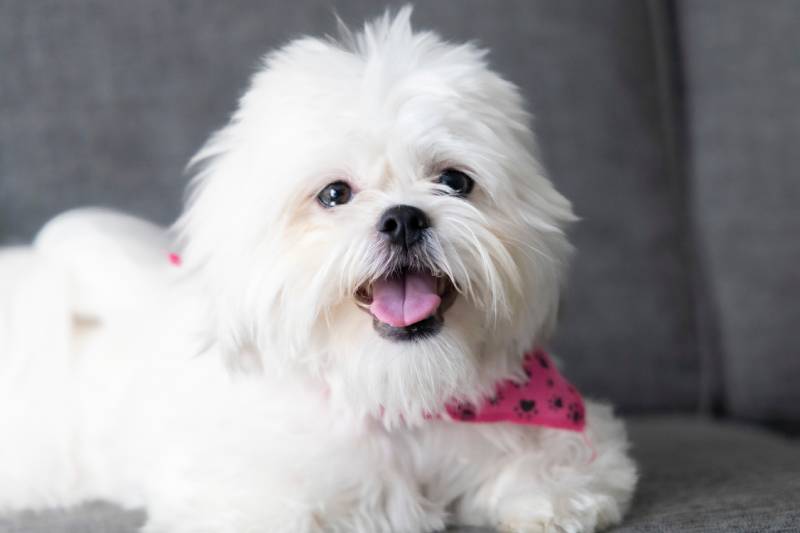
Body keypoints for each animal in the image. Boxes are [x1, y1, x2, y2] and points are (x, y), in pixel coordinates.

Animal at [0, 8, 636, 532]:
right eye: (334, 194)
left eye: (455, 181)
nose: (403, 219)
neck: (392, 388)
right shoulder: (238, 492)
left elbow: (561, 467)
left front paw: (548, 500)